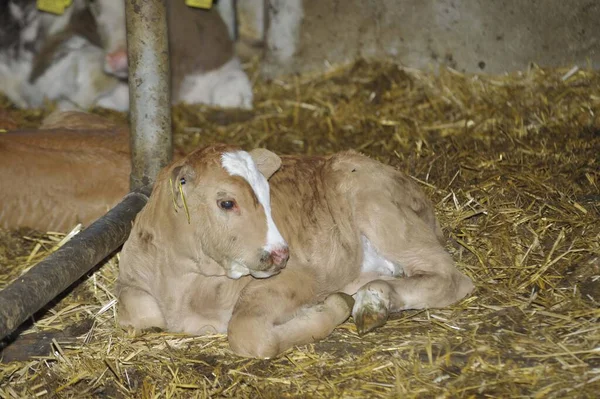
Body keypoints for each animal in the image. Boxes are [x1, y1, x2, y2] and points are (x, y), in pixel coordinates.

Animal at [117, 144, 474, 360]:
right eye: (227, 202)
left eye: (267, 194)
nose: (281, 254)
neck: (185, 285)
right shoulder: (131, 281)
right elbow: (139, 313)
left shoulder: (300, 276)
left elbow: (248, 333)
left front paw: (325, 309)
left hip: (382, 210)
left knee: (451, 278)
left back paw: (373, 302)